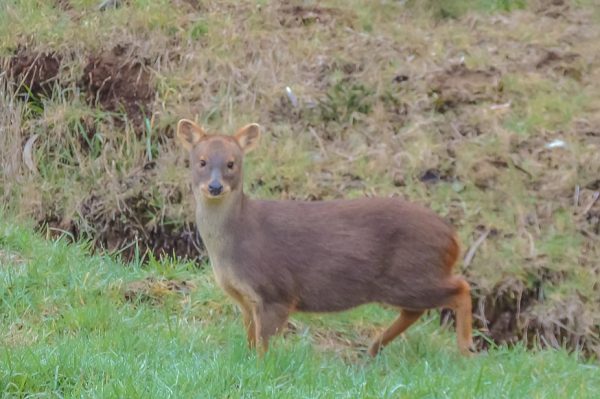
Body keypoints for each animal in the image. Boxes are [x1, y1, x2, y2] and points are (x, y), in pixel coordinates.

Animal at [176, 119, 476, 360]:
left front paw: (260, 367)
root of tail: (453, 238)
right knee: (416, 310)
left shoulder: (277, 290)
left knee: (460, 287)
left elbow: (264, 344)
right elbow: (251, 339)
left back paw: (464, 350)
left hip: (412, 273)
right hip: (405, 280)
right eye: (201, 161)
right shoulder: (244, 298)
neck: (236, 240)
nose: (215, 186)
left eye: (231, 163)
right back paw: (373, 348)